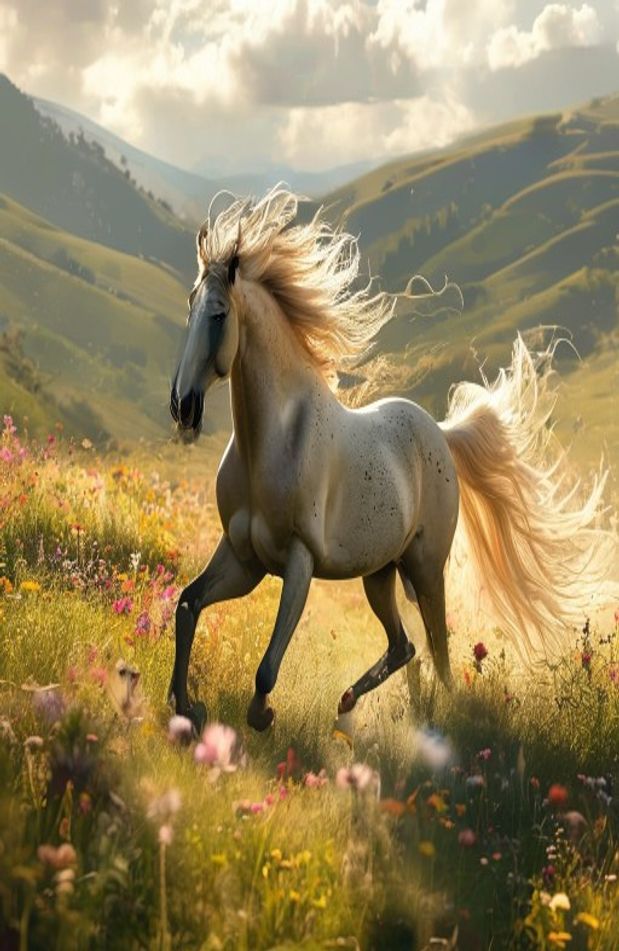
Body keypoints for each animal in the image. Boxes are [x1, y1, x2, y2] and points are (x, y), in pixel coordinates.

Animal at [169, 186, 614, 732]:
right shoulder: (243, 557)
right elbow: (187, 604)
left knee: (439, 653)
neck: (270, 444)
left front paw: (260, 714)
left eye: (217, 314)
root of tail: (439, 433)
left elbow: (268, 665)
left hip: (425, 568)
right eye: (189, 306)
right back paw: (350, 702)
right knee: (404, 647)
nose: (182, 406)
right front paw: (186, 706)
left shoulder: (298, 560)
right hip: (380, 573)